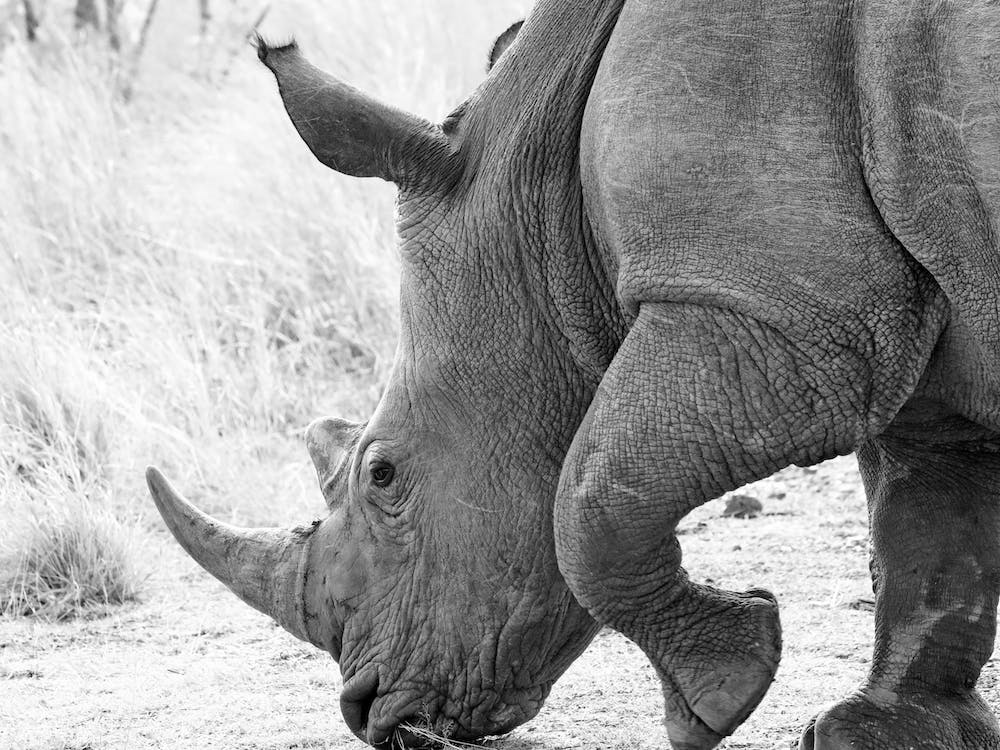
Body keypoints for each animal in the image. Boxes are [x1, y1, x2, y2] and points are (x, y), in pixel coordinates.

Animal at [146, 1, 1000, 748]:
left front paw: (718, 698)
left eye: (383, 474)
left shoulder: (779, 311)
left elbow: (591, 500)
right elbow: (927, 525)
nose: (370, 713)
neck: (547, 208)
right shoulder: (890, 308)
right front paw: (880, 731)